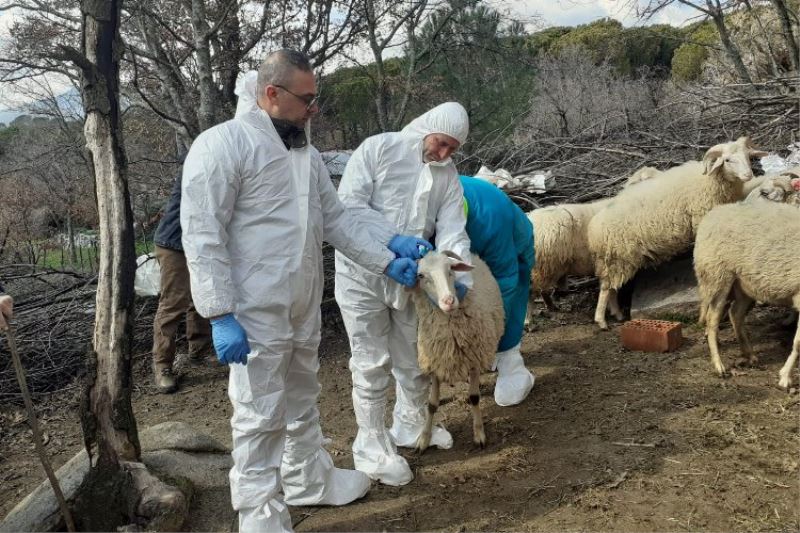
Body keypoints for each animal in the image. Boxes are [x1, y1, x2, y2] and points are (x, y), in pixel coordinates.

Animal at [410, 249, 504, 448]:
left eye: (450, 269)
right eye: (421, 276)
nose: (448, 300)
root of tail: (474, 255)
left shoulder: (474, 359)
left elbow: (474, 398)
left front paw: (479, 433)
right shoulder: (435, 362)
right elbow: (432, 404)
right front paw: (424, 438)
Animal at [588, 136, 768, 328]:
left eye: (748, 156)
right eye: (727, 160)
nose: (748, 175)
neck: (710, 180)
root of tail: (593, 228)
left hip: (615, 259)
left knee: (611, 287)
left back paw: (617, 314)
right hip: (619, 257)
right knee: (606, 288)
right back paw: (601, 320)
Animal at [692, 202, 800, 388]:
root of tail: (715, 211)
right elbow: (799, 343)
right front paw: (785, 377)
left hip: (743, 283)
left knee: (735, 313)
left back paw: (747, 354)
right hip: (718, 275)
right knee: (712, 321)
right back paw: (718, 365)